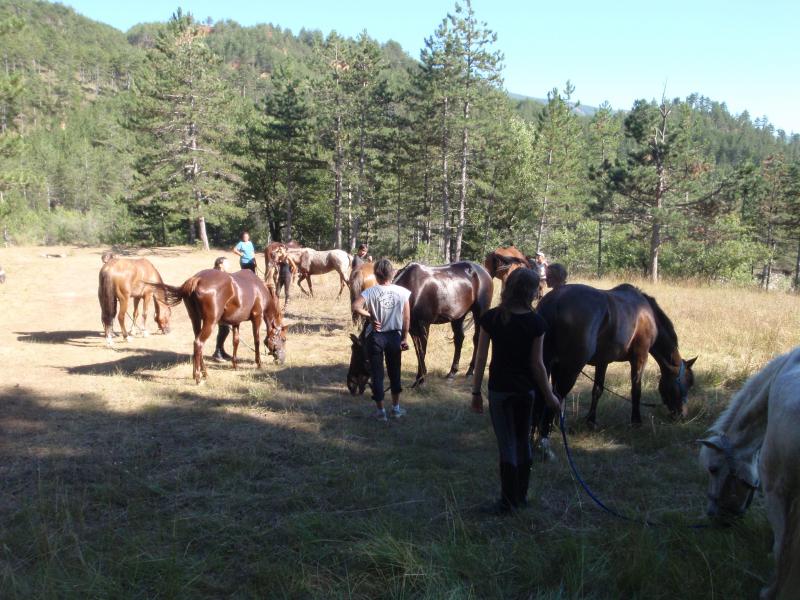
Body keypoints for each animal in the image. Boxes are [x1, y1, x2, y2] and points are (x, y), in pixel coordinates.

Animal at [155, 268, 286, 382]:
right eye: (284, 339)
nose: (282, 360)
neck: (260, 289)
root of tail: (196, 279)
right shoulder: (257, 317)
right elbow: (257, 341)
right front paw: (259, 363)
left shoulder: (236, 322)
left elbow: (236, 341)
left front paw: (235, 365)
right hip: (210, 322)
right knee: (199, 343)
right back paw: (198, 377)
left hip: (195, 320)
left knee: (197, 344)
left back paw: (204, 373)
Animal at [536, 284, 696, 424]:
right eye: (688, 382)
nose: (682, 415)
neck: (646, 314)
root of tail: (556, 301)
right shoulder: (640, 358)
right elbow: (636, 389)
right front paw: (636, 421)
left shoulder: (602, 361)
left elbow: (597, 390)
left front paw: (591, 420)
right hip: (571, 368)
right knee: (557, 395)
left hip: (548, 363)